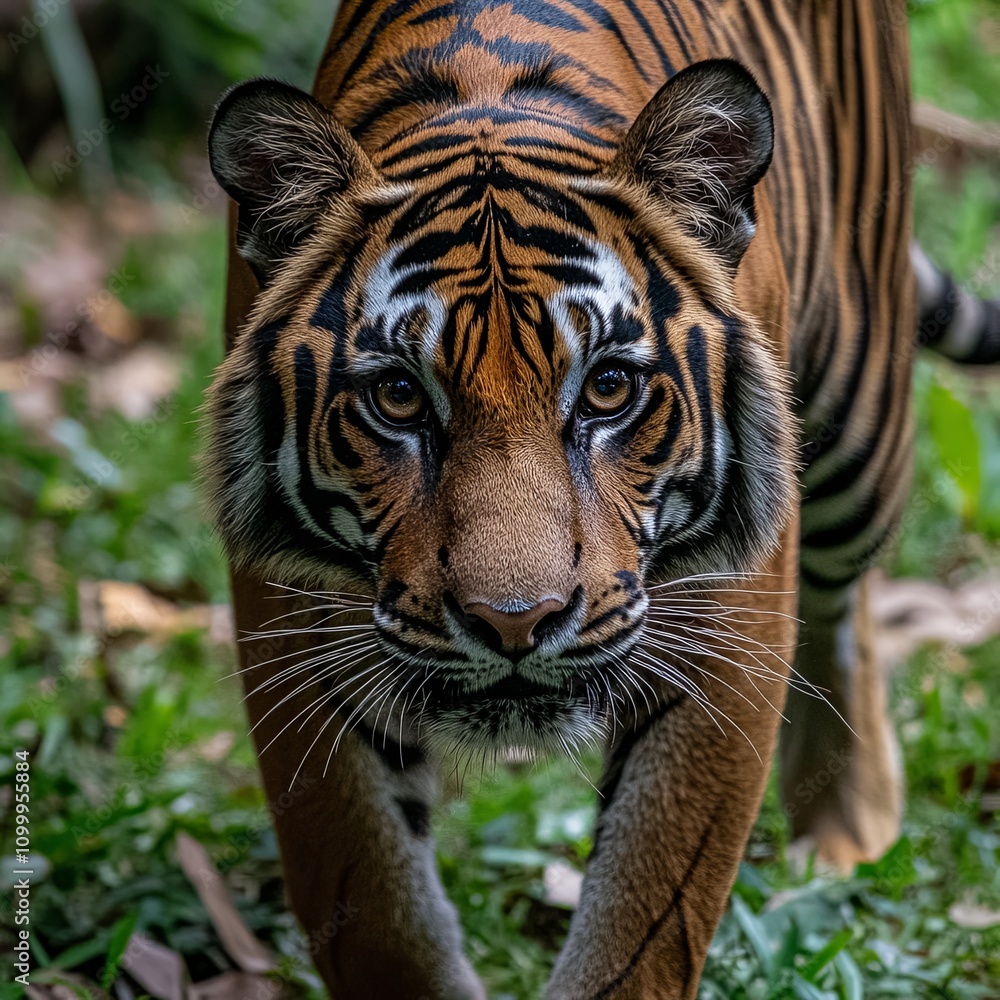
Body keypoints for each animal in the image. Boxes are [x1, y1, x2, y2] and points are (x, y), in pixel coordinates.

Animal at [204, 1, 1000, 996]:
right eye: (397, 397)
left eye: (609, 389)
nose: (513, 623)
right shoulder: (293, 627)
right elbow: (380, 913)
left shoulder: (724, 622)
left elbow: (645, 917)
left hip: (863, 409)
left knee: (845, 595)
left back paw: (846, 831)